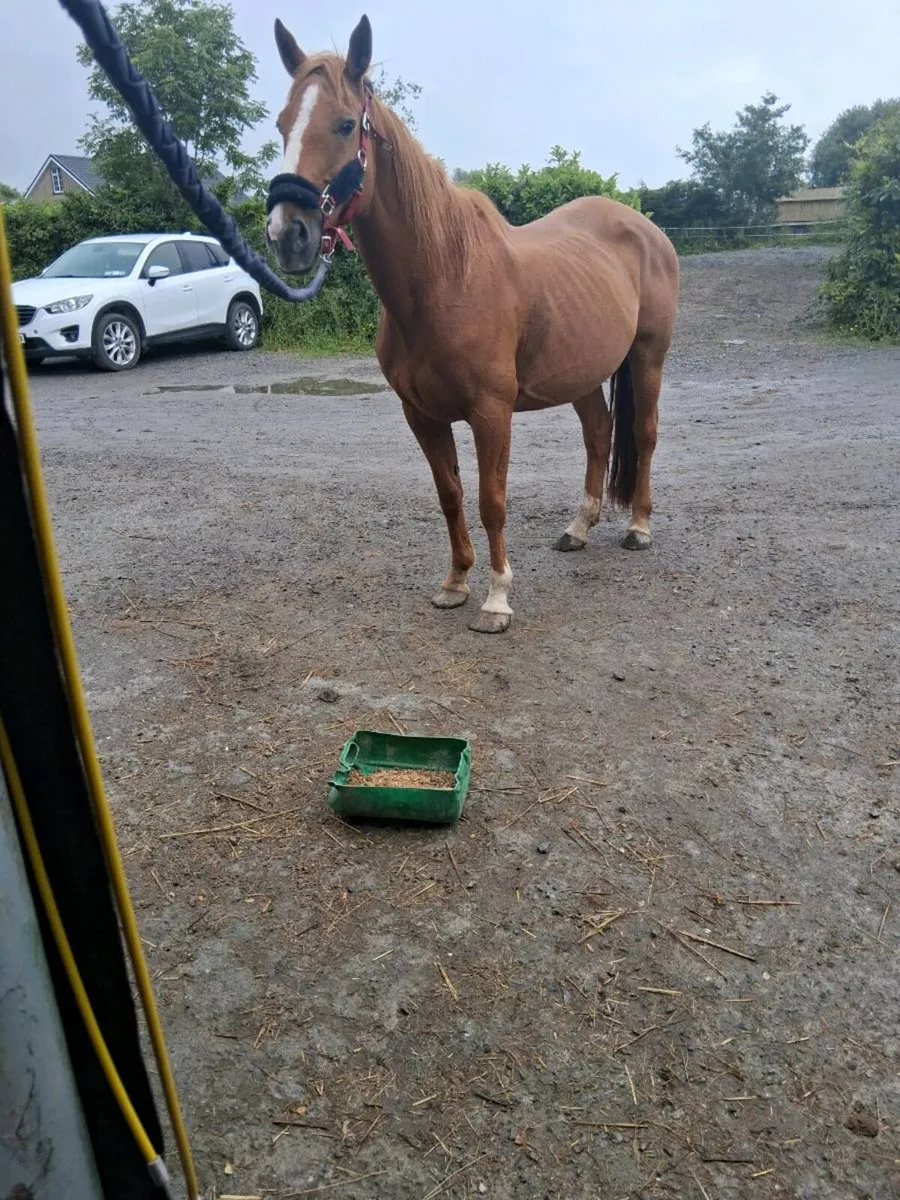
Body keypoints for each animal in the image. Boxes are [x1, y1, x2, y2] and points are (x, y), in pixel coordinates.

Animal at [266, 15, 679, 634]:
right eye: (282, 124)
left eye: (343, 124)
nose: (286, 233)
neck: (443, 280)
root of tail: (643, 226)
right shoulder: (421, 415)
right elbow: (451, 495)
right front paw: (456, 582)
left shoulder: (491, 412)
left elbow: (491, 500)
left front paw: (497, 599)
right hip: (581, 373)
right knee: (599, 433)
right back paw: (578, 528)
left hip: (648, 355)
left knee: (644, 433)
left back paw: (638, 528)